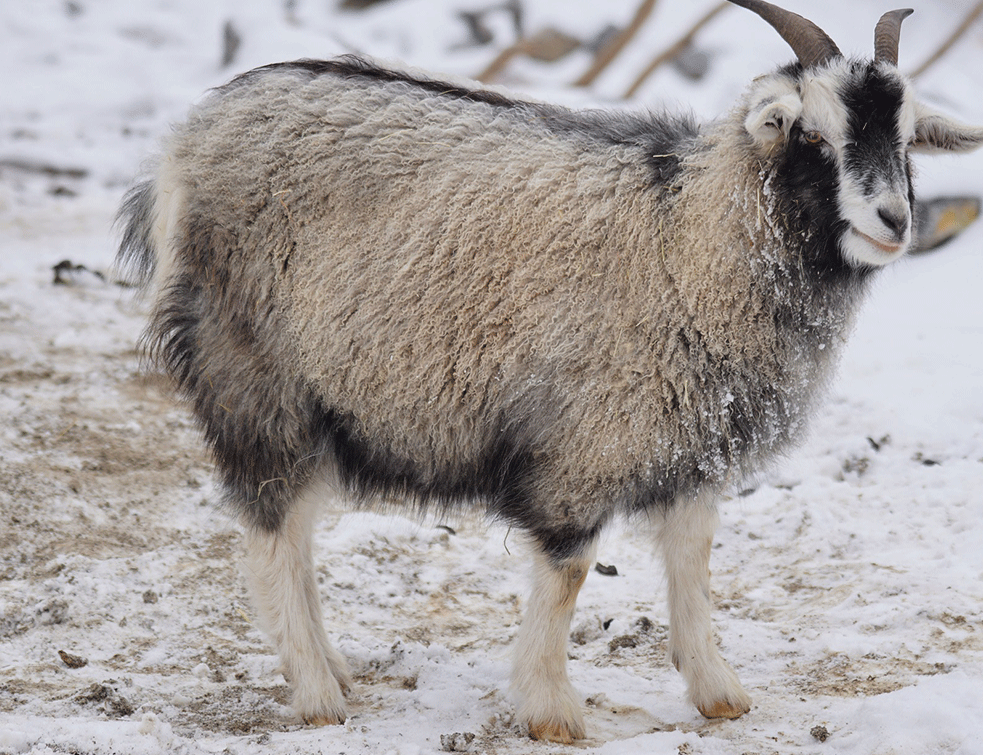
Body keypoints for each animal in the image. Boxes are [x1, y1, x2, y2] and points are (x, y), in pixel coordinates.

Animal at [117, 0, 983, 744]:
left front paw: (718, 692)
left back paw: (332, 669)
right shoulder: (585, 441)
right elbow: (566, 572)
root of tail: (182, 146)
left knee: (293, 531)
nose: (893, 220)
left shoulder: (691, 439)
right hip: (256, 378)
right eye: (809, 134)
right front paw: (551, 709)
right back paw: (317, 694)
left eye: (906, 137)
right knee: (271, 530)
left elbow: (693, 561)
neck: (687, 235)